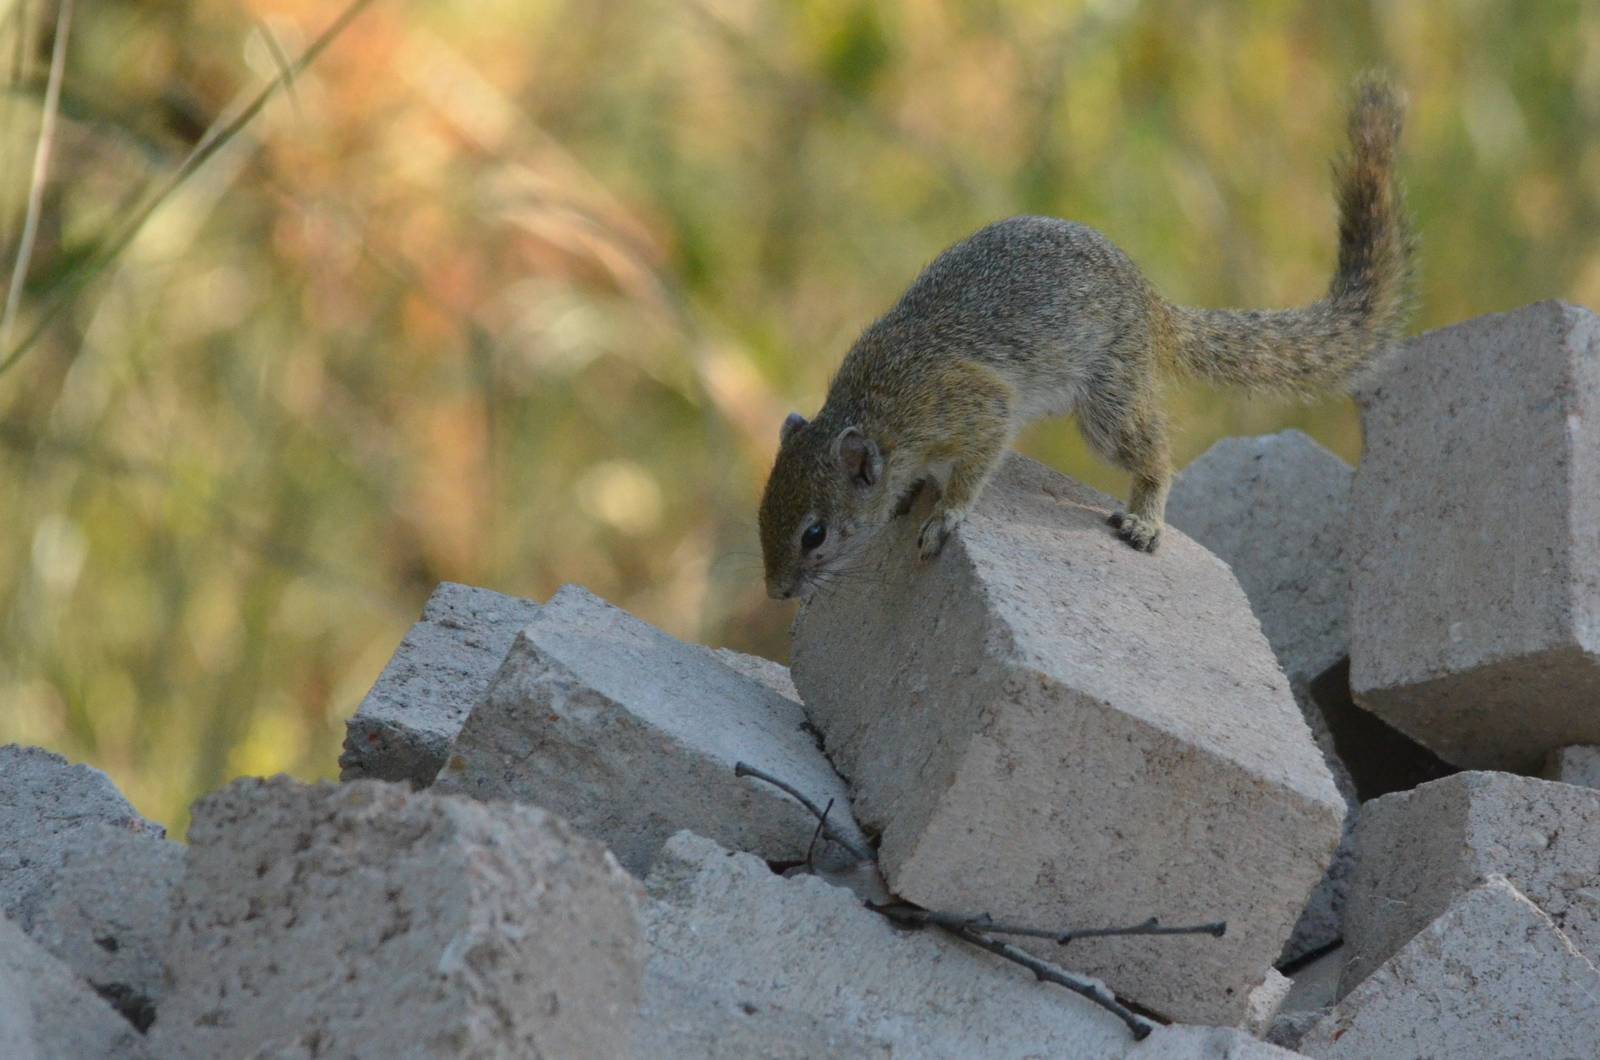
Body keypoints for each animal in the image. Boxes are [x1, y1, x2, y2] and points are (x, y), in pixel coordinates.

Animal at [759, 77, 1414, 600]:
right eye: (762, 509)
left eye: (815, 534)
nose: (777, 594)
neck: (878, 411)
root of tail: (1150, 304)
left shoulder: (972, 408)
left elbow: (976, 466)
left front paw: (944, 516)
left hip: (1109, 398)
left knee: (1153, 453)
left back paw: (1146, 519)